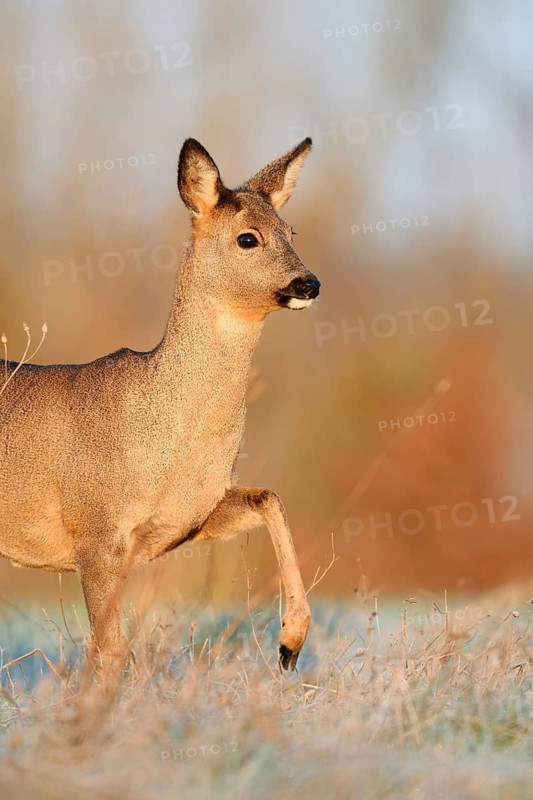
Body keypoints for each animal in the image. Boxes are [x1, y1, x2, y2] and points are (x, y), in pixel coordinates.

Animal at [0, 136, 320, 675]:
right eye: (247, 238)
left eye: (291, 231)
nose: (309, 283)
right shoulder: (96, 533)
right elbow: (109, 651)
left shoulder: (188, 519)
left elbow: (268, 497)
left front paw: (290, 644)